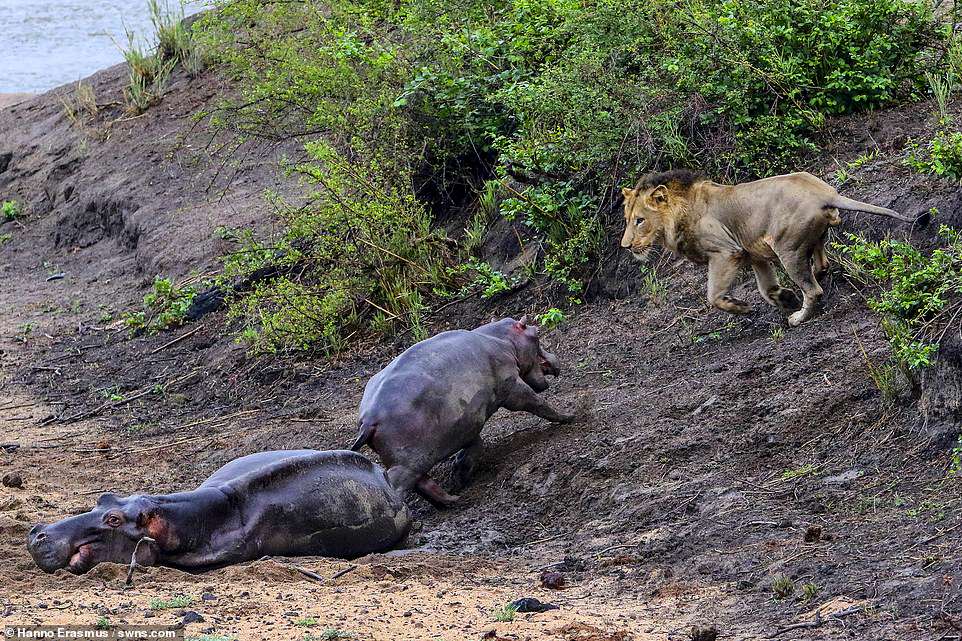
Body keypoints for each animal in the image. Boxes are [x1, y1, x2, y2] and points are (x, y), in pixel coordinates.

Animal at [350, 314, 568, 504]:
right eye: (536, 331)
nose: (555, 359)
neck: (502, 338)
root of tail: (368, 420)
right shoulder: (512, 385)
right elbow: (536, 402)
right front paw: (568, 416)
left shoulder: (466, 424)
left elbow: (476, 445)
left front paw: (459, 473)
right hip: (406, 463)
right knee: (398, 484)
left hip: (413, 460)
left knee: (423, 483)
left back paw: (452, 500)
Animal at [620, 169, 920, 324]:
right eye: (627, 219)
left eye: (639, 220)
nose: (626, 246)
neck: (681, 212)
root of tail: (826, 194)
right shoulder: (753, 253)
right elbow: (766, 288)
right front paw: (783, 297)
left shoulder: (726, 251)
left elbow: (713, 296)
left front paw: (740, 306)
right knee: (821, 262)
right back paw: (815, 275)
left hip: (786, 247)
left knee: (814, 289)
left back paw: (799, 317)